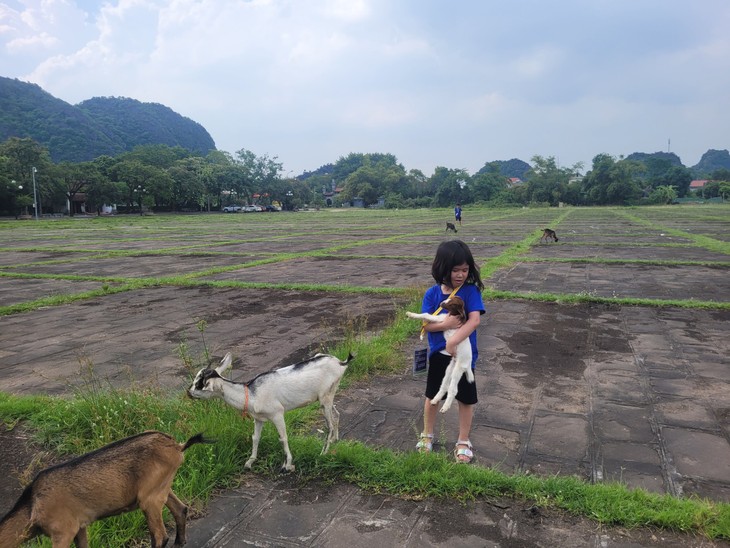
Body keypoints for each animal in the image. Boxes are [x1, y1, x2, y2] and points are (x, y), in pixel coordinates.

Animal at [0, 432, 208, 548]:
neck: (32, 506)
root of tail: (177, 446)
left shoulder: (63, 530)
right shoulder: (80, 527)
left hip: (149, 498)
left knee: (160, 536)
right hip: (160, 487)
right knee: (180, 509)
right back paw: (179, 542)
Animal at [189, 354, 352, 474]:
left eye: (199, 384)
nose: (188, 393)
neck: (252, 394)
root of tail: (340, 362)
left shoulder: (277, 413)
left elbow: (283, 438)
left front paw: (287, 465)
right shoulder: (258, 418)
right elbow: (255, 438)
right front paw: (250, 461)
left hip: (325, 396)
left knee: (329, 425)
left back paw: (323, 453)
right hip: (327, 396)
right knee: (336, 414)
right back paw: (335, 439)